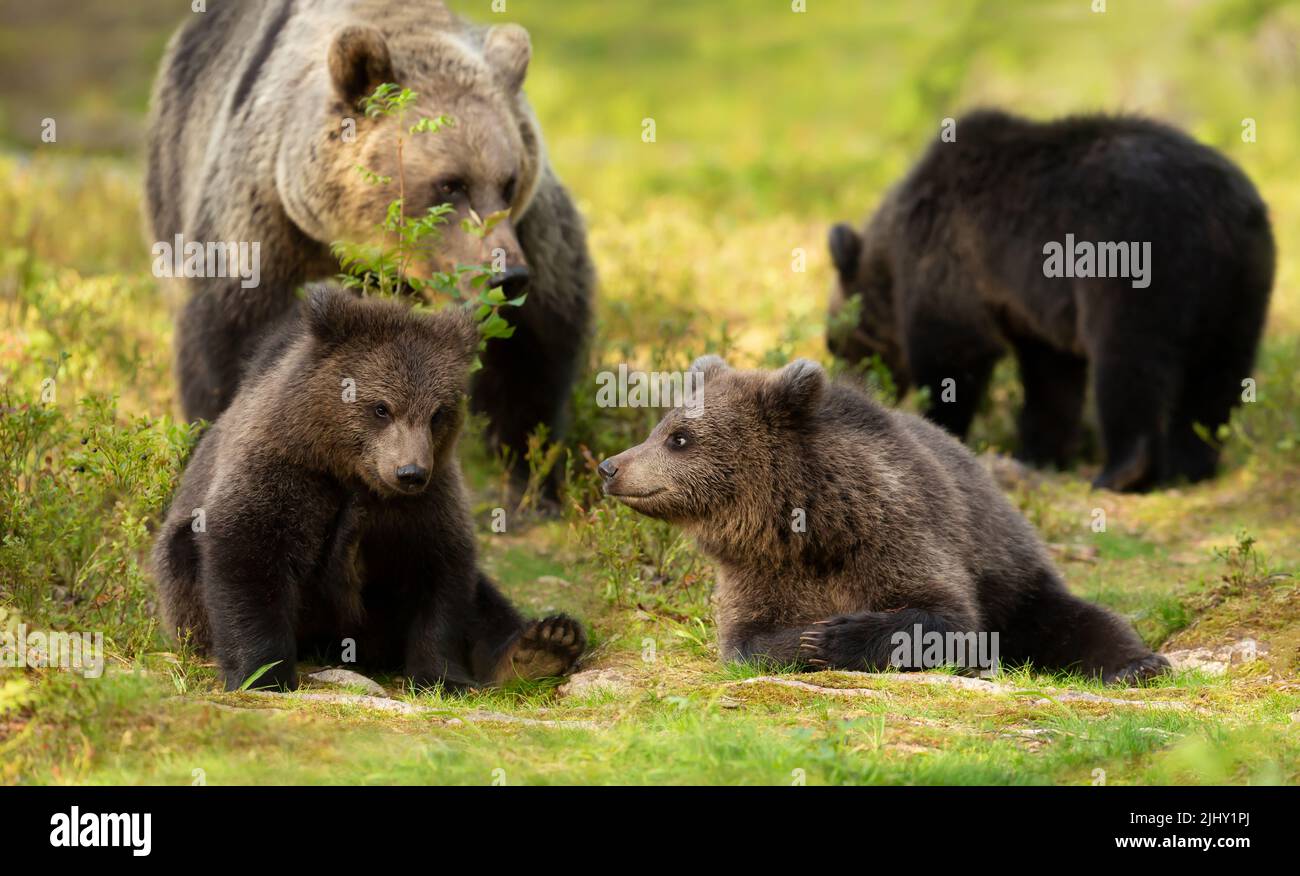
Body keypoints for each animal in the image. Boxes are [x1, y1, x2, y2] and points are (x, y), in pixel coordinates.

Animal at [145, 0, 594, 487]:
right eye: (450, 184)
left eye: (509, 183)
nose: (506, 276)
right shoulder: (267, 218)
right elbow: (232, 336)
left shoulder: (530, 232)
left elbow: (533, 347)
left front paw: (531, 471)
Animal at [151, 285, 586, 691]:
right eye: (381, 407)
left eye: (438, 412)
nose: (410, 472)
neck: (350, 470)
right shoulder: (285, 470)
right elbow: (248, 555)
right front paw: (263, 674)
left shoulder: (428, 501)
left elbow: (442, 574)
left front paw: (443, 676)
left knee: (485, 600)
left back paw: (542, 645)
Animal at [598, 355, 1169, 685]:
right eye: (661, 427)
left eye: (679, 438)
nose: (610, 466)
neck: (799, 527)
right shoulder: (755, 572)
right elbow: (747, 641)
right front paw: (802, 640)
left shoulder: (892, 533)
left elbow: (946, 617)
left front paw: (833, 636)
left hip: (1012, 575)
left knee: (1075, 619)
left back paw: (1138, 666)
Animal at [826, 110, 1275, 492]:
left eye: (835, 343)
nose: (850, 387)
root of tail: (1216, 212)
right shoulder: (1033, 308)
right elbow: (1051, 378)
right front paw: (1038, 452)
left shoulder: (948, 257)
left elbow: (953, 352)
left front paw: (941, 427)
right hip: (1240, 282)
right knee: (1217, 374)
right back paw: (1188, 467)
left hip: (1134, 260)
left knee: (1128, 363)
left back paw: (1121, 470)